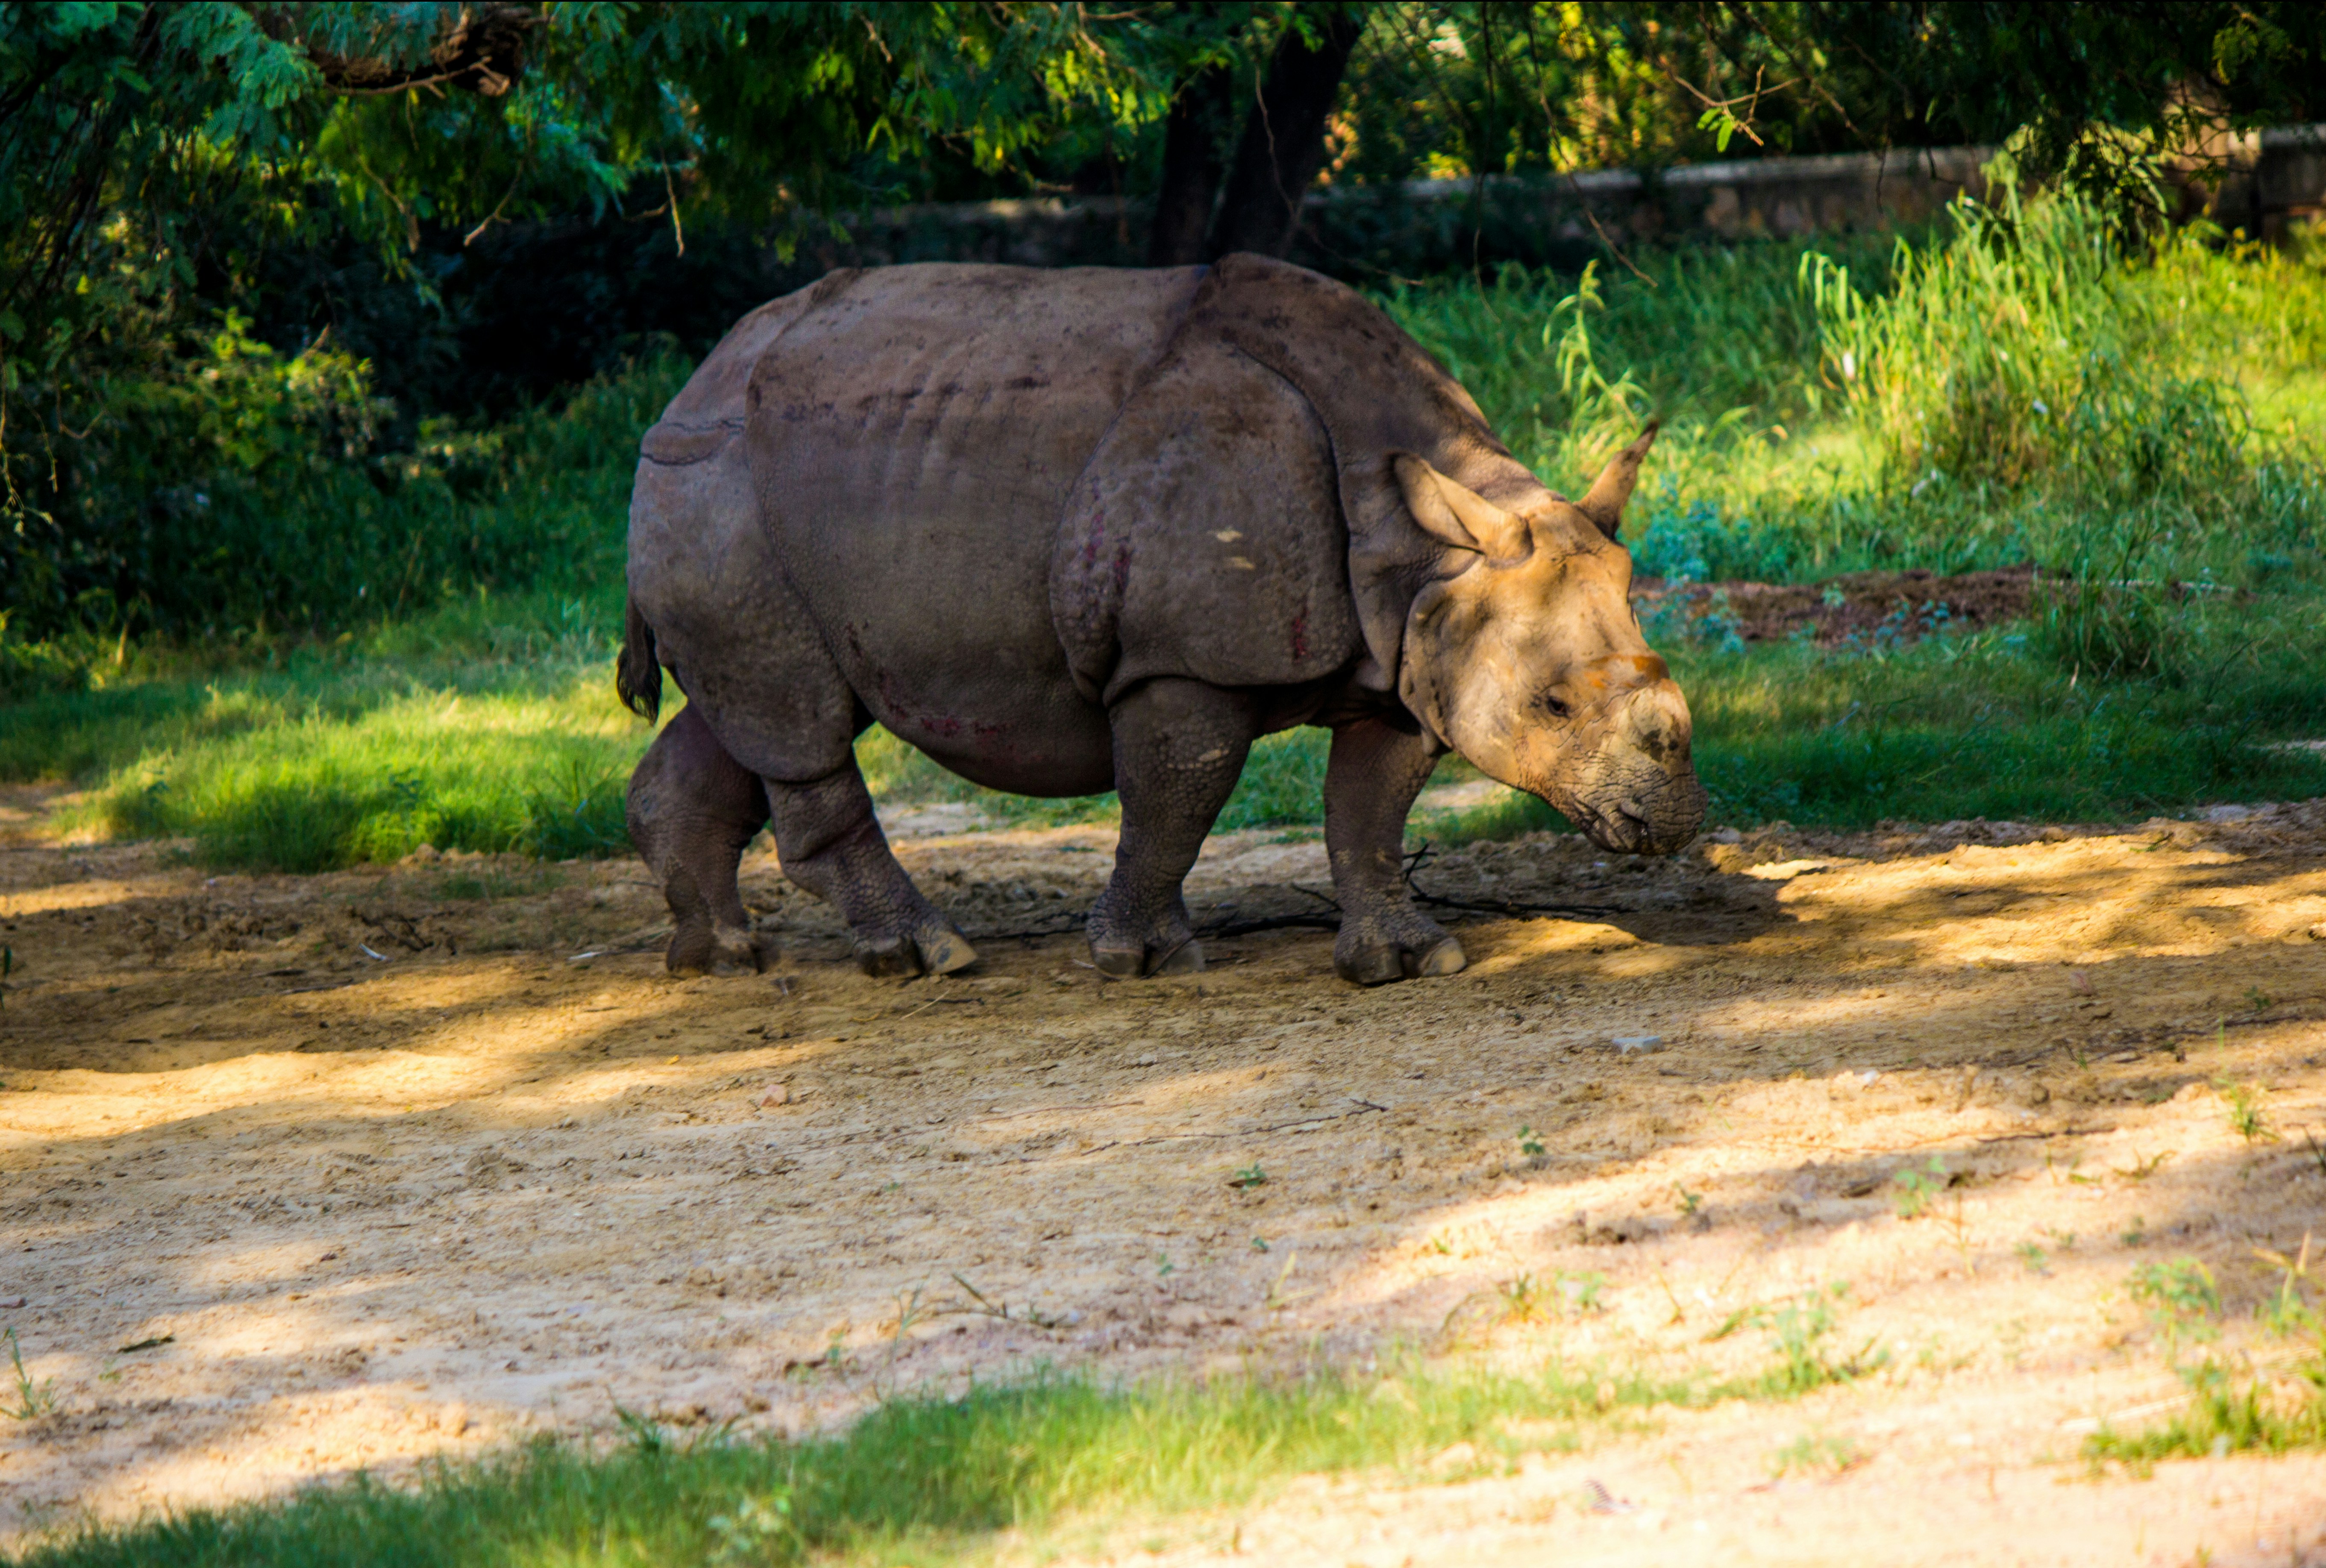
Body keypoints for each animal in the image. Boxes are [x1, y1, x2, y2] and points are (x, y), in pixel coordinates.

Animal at [618, 255, 1705, 985]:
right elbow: (1178, 798)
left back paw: (719, 954)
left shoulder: (1407, 649)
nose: (1674, 822)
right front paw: (1139, 960)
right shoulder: (1182, 660)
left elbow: (1371, 808)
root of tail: (690, 383)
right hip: (721, 487)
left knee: (752, 716)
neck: (1421, 547)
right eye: (1552, 706)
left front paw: (1409, 962)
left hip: (756, 491)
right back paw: (929, 956)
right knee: (797, 721)